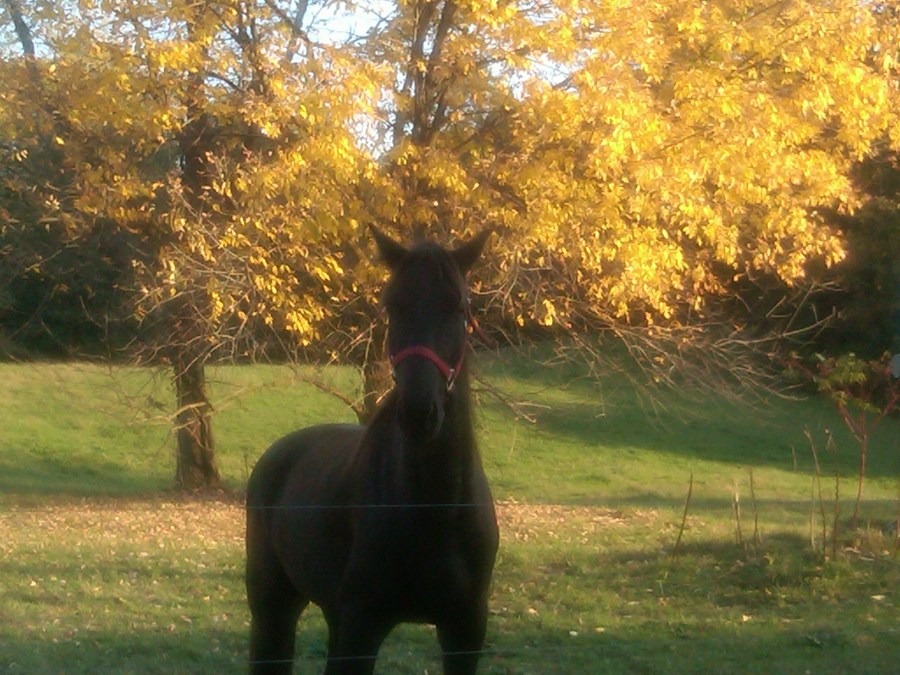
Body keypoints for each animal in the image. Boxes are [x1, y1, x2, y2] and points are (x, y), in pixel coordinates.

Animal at [245, 227, 499, 674]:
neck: (435, 506)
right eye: (392, 305)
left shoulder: (465, 630)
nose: (418, 412)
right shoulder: (361, 625)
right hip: (273, 605)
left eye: (457, 305)